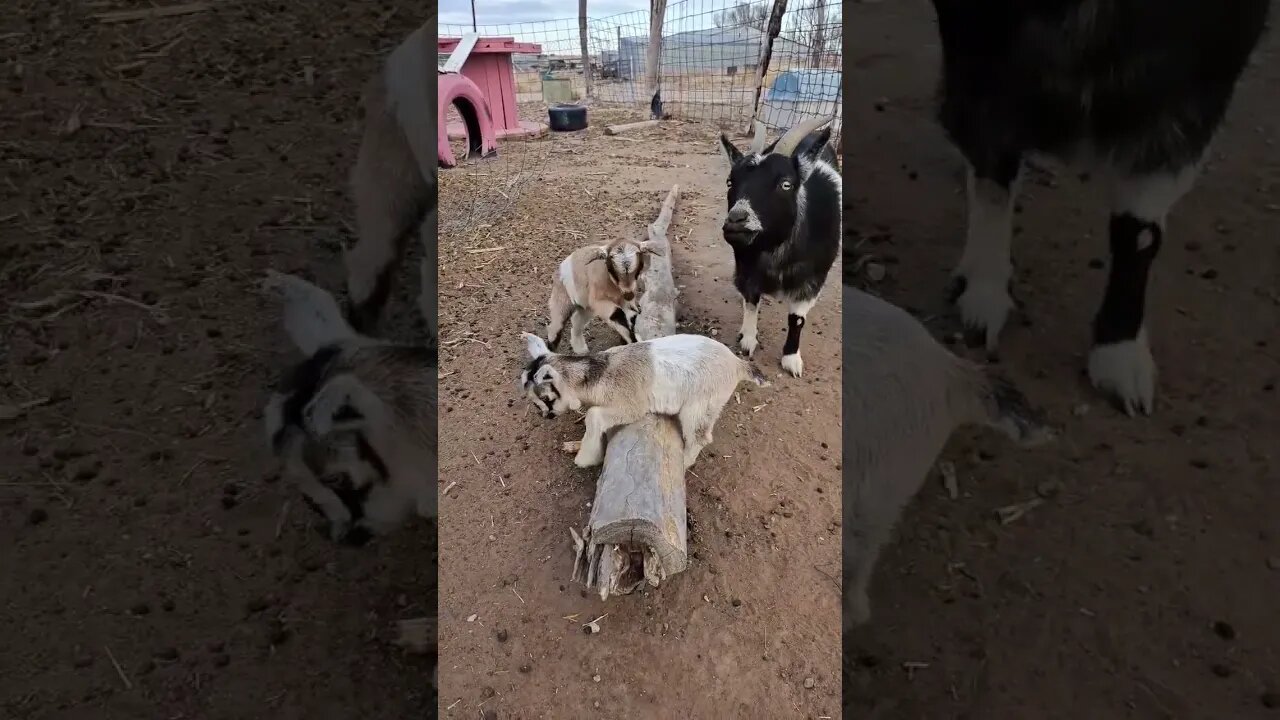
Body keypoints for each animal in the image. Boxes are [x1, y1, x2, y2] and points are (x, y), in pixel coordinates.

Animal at [721, 113, 839, 376]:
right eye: (730, 182)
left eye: (786, 184)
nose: (736, 221)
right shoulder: (745, 268)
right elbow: (751, 301)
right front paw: (748, 339)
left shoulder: (813, 280)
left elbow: (797, 318)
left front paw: (791, 359)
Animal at [931, 0, 1269, 415]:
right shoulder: (981, 52)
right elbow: (993, 171)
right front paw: (983, 295)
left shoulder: (1198, 78)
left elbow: (1139, 232)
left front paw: (1120, 356)